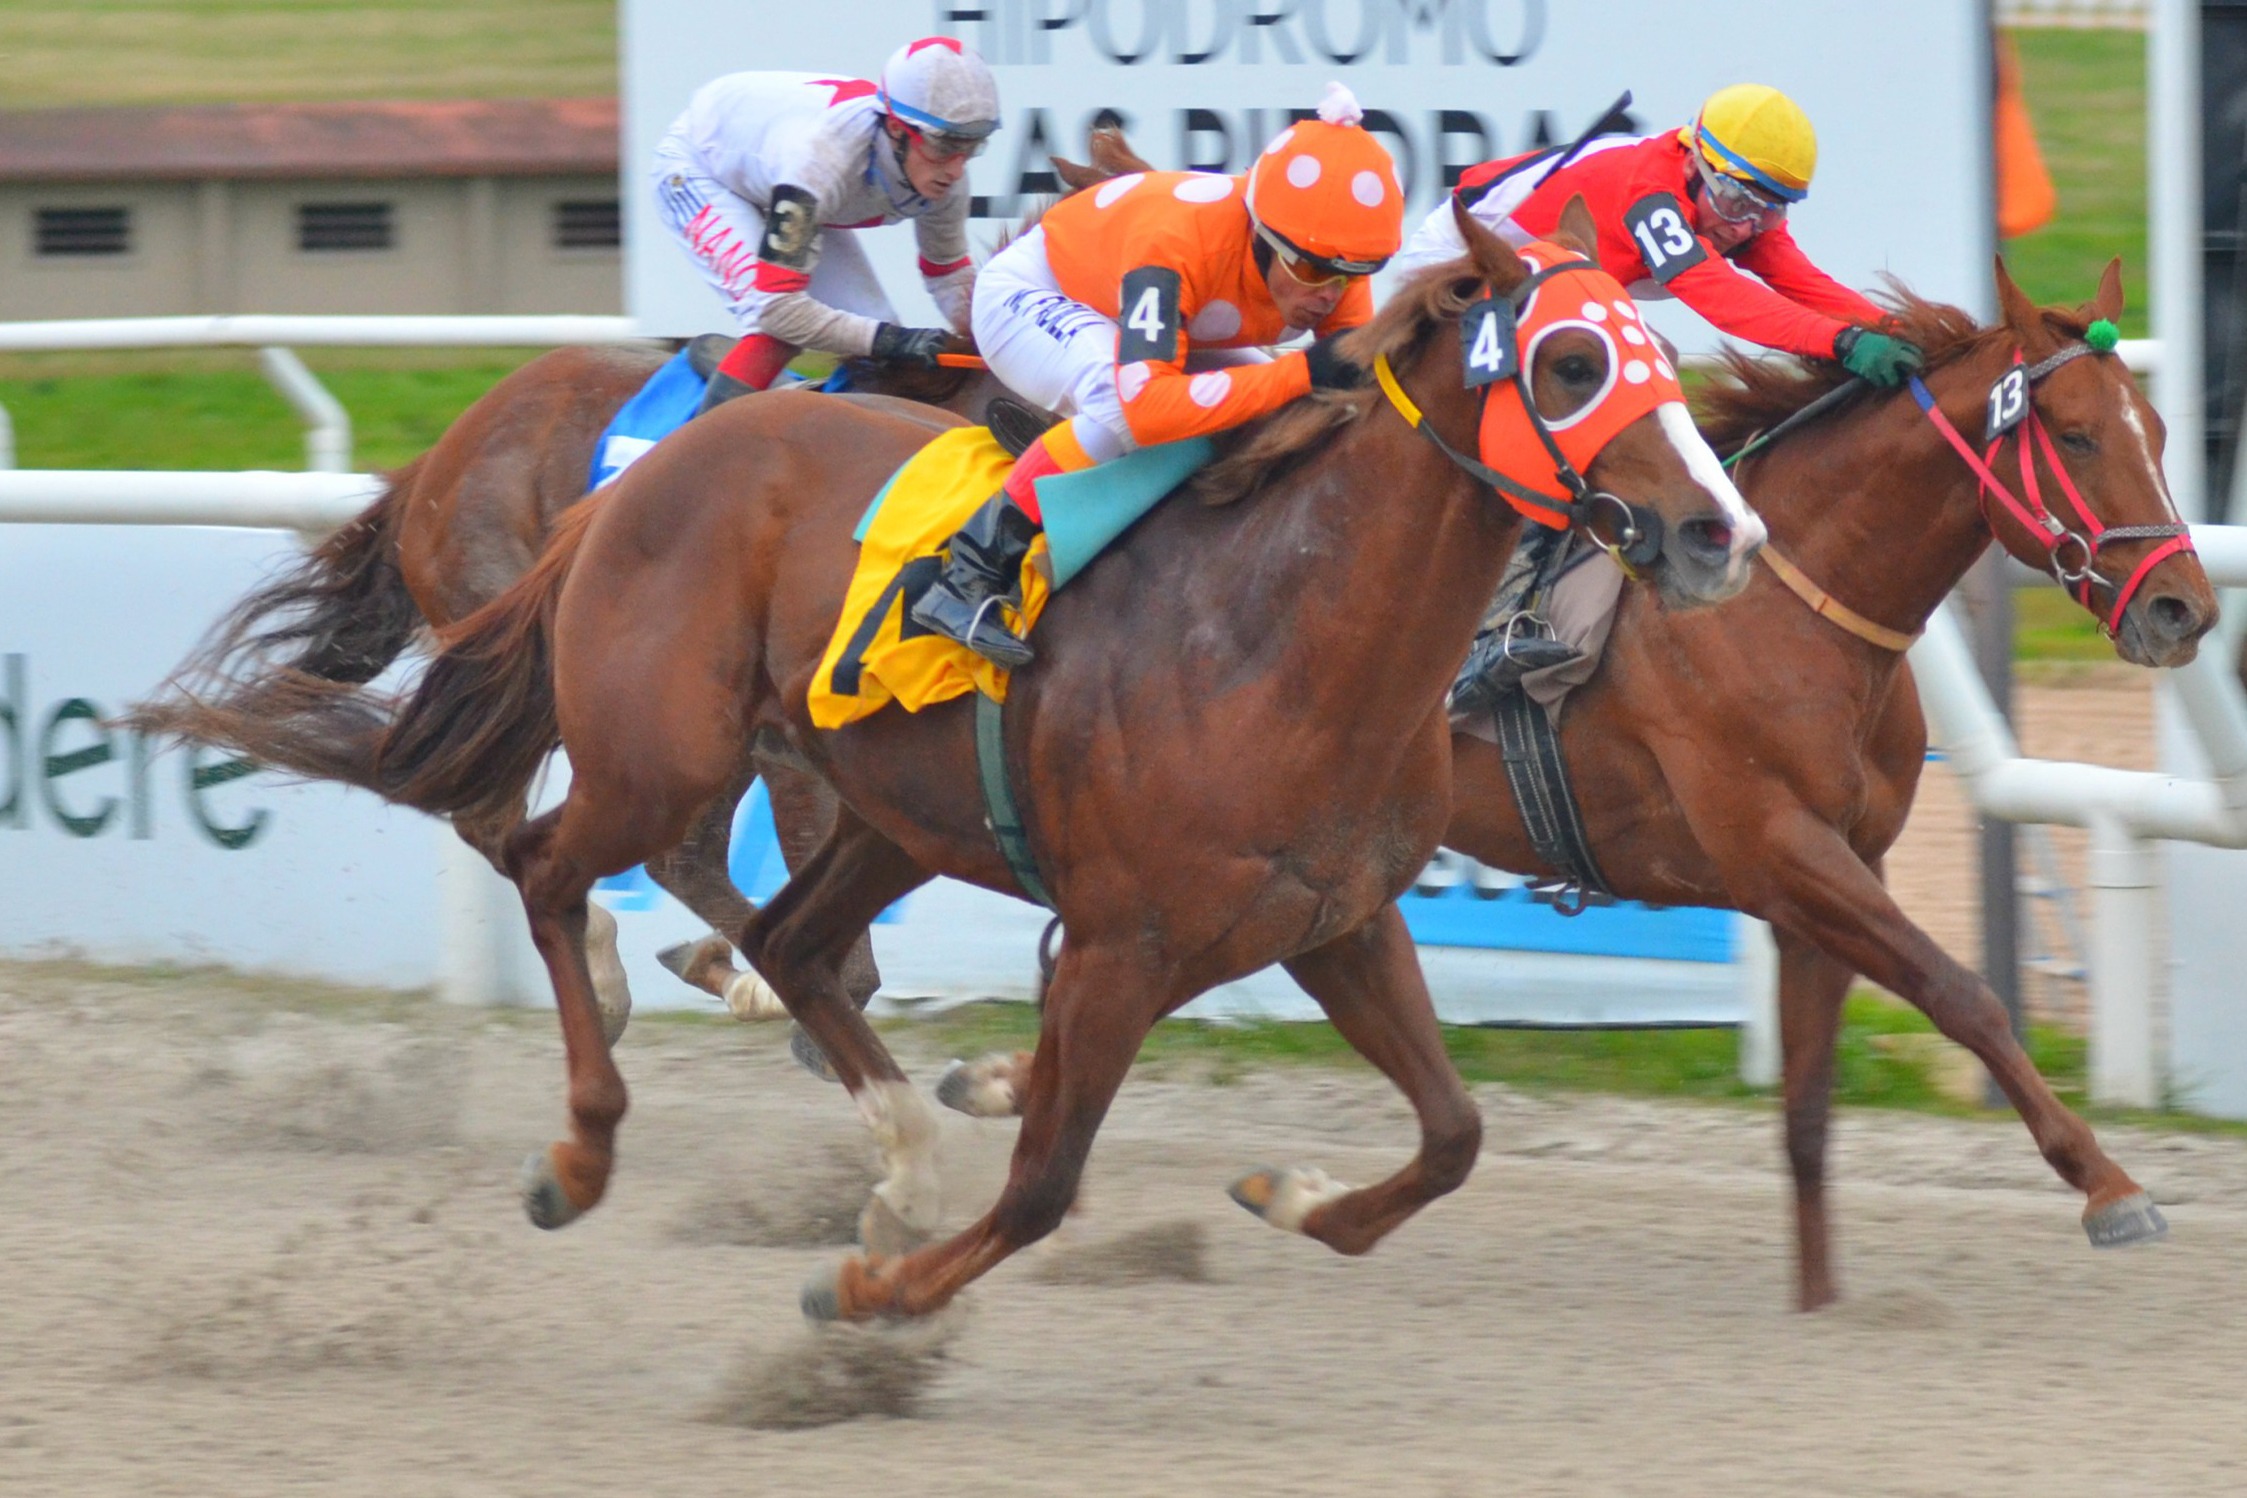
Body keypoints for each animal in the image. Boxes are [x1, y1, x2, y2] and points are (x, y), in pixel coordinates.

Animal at [136, 199, 1764, 1323]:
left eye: (1659, 348)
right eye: (1568, 360)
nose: (1720, 534)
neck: (1285, 629)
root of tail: (622, 478)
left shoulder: (1339, 918)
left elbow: (1454, 1134)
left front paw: (1288, 1192)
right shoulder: (1117, 943)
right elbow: (1045, 1179)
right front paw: (868, 1298)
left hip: (884, 809)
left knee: (791, 942)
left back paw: (901, 1156)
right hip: (663, 749)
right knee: (550, 864)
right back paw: (588, 1150)